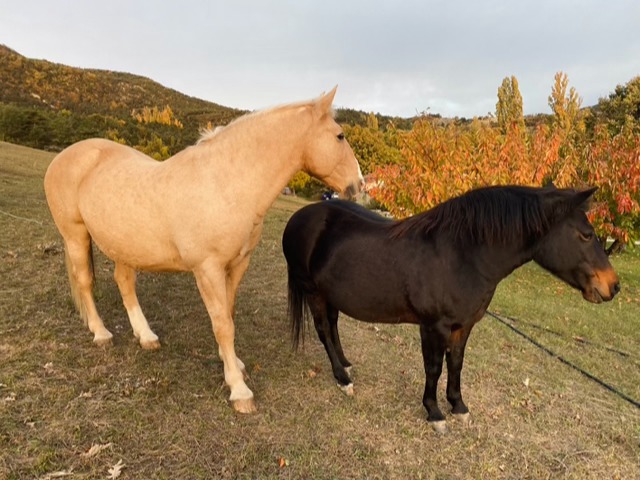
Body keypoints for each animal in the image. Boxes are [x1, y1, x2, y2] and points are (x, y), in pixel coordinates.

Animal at [43, 86, 364, 412]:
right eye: (340, 136)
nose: (359, 185)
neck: (224, 183)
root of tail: (67, 155)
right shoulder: (207, 269)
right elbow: (222, 324)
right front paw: (239, 390)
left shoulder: (237, 265)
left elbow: (228, 314)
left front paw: (232, 363)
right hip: (76, 235)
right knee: (85, 282)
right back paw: (101, 333)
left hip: (126, 246)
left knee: (124, 282)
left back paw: (146, 336)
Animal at [282, 184, 620, 432]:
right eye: (586, 235)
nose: (613, 286)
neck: (462, 255)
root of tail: (299, 218)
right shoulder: (433, 326)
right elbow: (434, 367)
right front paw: (435, 413)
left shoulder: (463, 326)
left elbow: (456, 364)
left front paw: (458, 407)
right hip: (313, 292)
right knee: (324, 331)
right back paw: (343, 379)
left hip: (330, 294)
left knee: (333, 326)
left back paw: (346, 365)